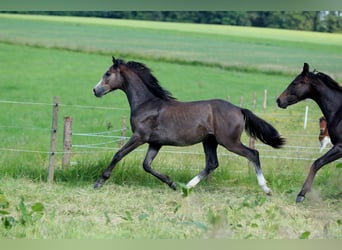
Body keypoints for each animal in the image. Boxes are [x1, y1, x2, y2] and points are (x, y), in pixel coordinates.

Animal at [93, 57, 286, 195]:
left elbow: (118, 155)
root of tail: (239, 109)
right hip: (210, 141)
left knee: (253, 154)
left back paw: (266, 189)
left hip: (229, 142)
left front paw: (99, 182)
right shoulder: (155, 143)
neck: (146, 104)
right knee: (212, 164)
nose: (95, 90)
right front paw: (171, 184)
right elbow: (146, 165)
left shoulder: (139, 137)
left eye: (108, 74)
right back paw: (186, 187)